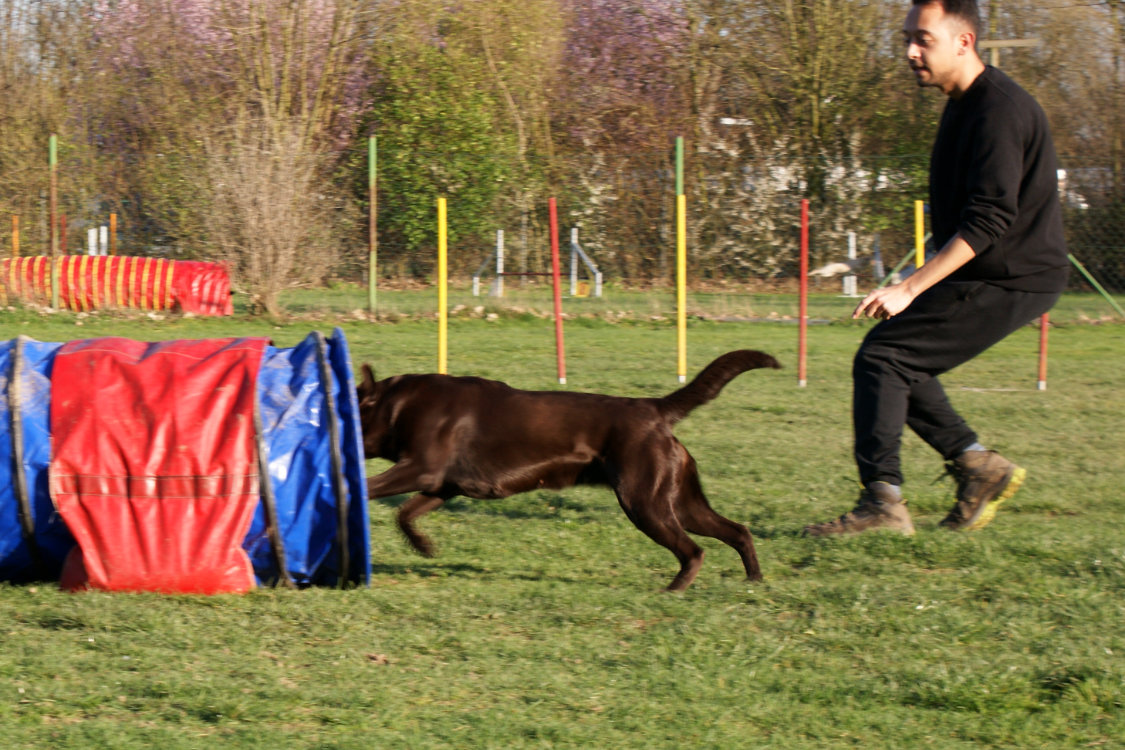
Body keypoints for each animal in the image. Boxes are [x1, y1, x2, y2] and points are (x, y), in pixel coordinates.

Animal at [360, 353, 783, 593]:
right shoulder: (442, 486)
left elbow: (368, 488)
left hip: (644, 503)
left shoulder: (422, 470)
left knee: (693, 551)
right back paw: (754, 583)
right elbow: (405, 514)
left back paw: (674, 591)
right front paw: (424, 547)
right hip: (681, 502)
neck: (396, 404)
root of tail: (655, 410)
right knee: (738, 531)